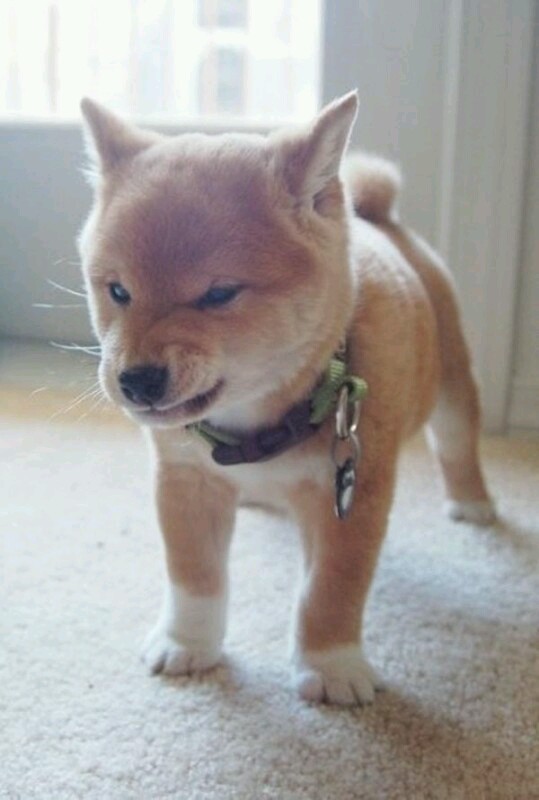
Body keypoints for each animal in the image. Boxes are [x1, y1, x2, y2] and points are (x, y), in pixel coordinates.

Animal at [78, 92, 495, 706]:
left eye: (219, 294)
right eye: (117, 291)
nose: (137, 380)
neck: (260, 427)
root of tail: (380, 219)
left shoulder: (351, 491)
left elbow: (332, 587)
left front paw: (332, 666)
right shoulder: (186, 484)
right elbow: (194, 577)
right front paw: (188, 642)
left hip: (452, 384)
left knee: (459, 444)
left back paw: (474, 503)